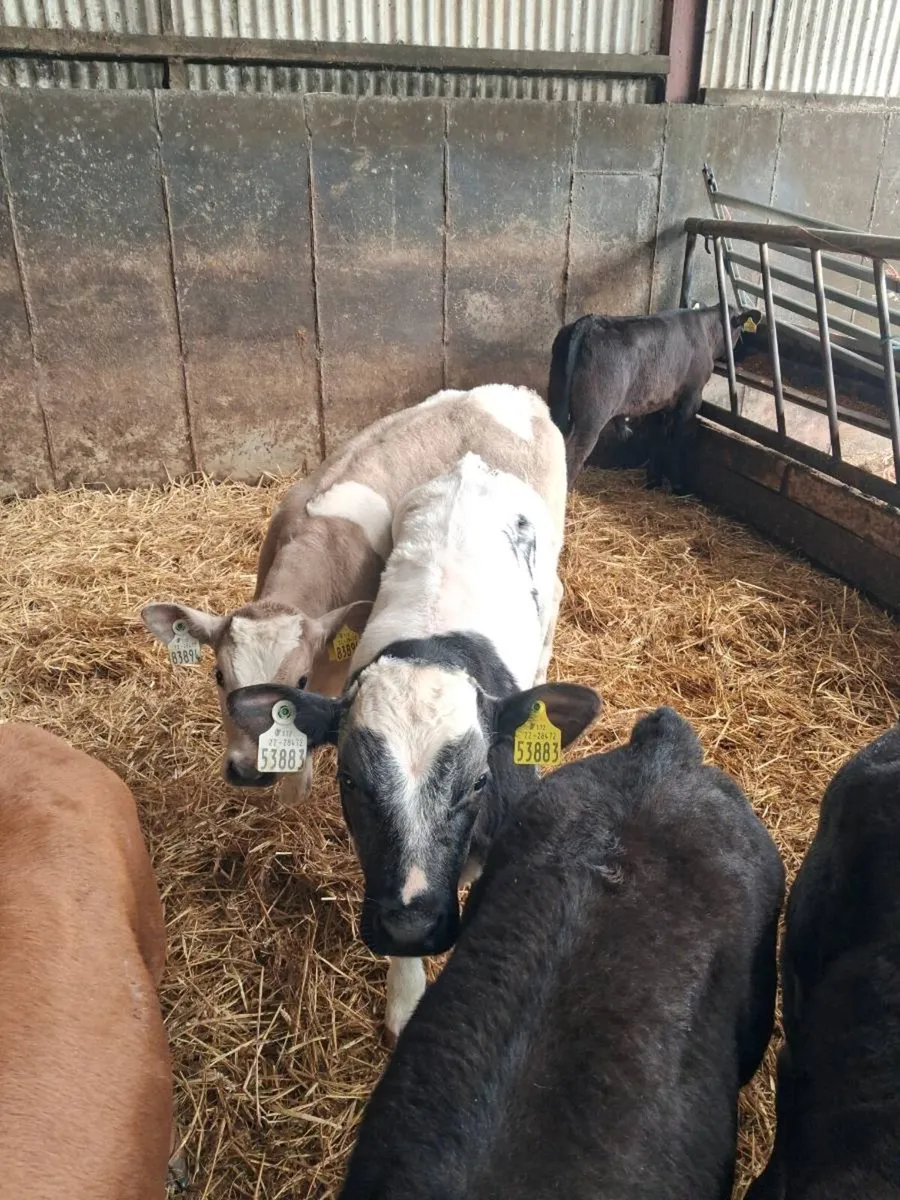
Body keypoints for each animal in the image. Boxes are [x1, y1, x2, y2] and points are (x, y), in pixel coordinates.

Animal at [142, 384, 566, 806]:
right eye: (218, 675)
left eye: (300, 680)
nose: (249, 770)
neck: (322, 534)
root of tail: (516, 393)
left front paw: (296, 791)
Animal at [547, 304, 761, 488]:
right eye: (740, 329)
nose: (739, 357)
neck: (706, 330)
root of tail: (589, 322)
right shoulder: (691, 397)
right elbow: (677, 438)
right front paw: (677, 484)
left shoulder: (658, 401)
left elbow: (657, 436)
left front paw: (653, 481)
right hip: (592, 416)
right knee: (574, 452)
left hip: (556, 397)